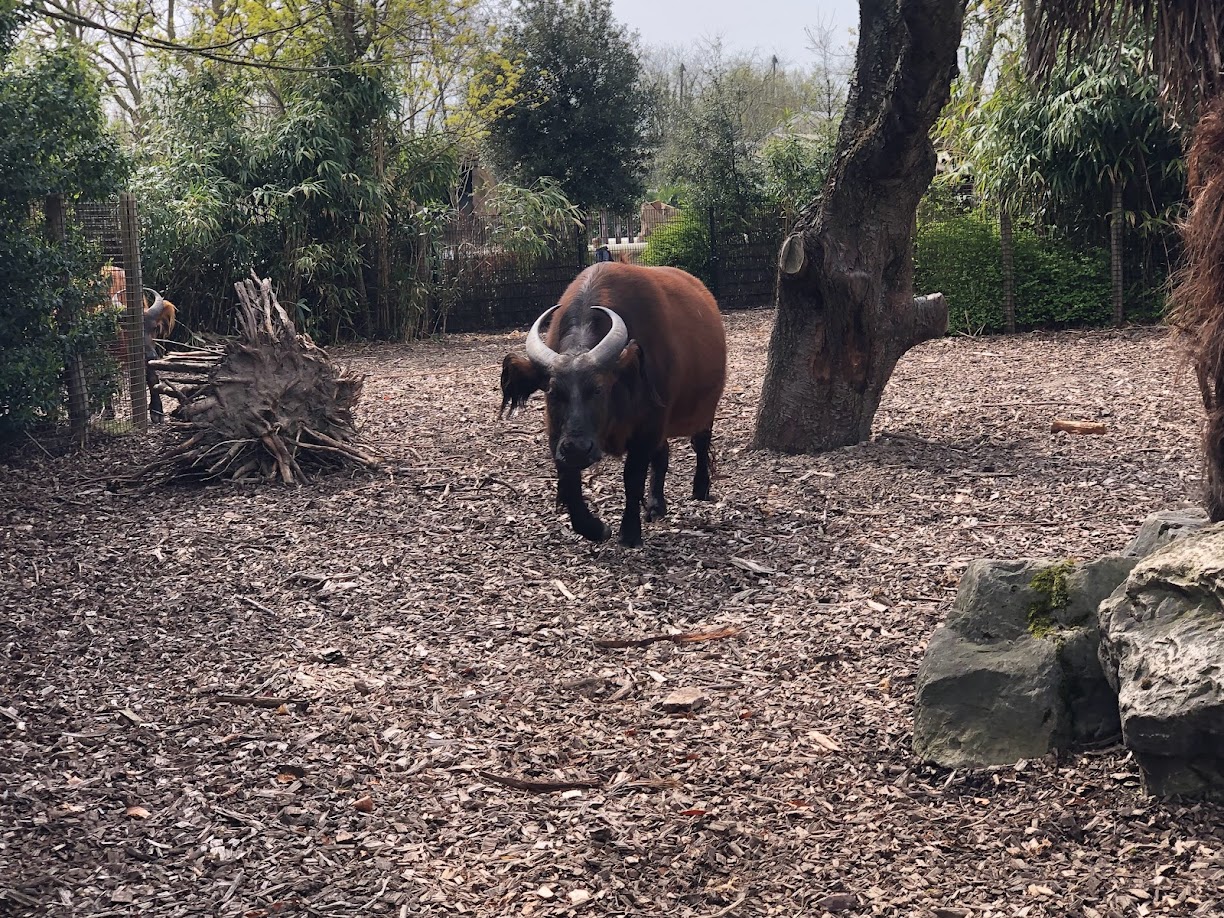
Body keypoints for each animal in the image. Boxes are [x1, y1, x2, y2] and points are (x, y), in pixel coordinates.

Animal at [500, 262, 727, 547]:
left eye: (598, 389)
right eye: (553, 391)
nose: (577, 448)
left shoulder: (647, 428)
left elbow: (632, 477)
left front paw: (629, 532)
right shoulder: (557, 436)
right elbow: (569, 482)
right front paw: (594, 528)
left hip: (705, 408)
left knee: (701, 442)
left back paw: (700, 487)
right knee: (663, 453)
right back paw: (656, 504)